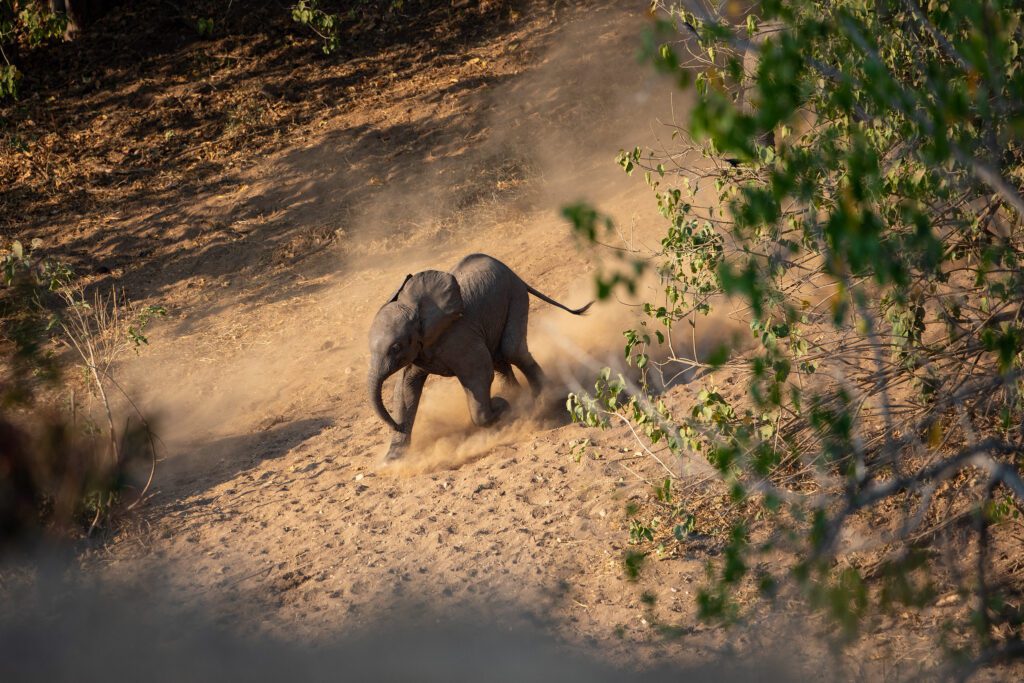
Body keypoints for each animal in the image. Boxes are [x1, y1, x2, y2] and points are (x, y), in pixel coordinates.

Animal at [368, 253, 593, 462]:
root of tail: (515, 275)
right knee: (500, 358)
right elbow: (406, 389)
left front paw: (502, 406)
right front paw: (391, 461)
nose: (395, 425)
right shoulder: (421, 349)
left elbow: (478, 376)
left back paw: (543, 398)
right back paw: (518, 397)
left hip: (515, 296)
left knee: (511, 350)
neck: (417, 310)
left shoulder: (459, 337)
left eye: (395, 347)